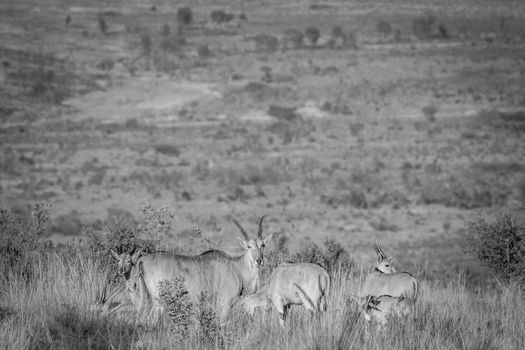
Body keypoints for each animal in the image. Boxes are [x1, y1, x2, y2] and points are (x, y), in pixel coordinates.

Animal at [133, 216, 272, 322]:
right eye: (248, 246)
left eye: (263, 245)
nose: (259, 260)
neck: (236, 266)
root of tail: (143, 259)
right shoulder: (225, 303)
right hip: (158, 302)